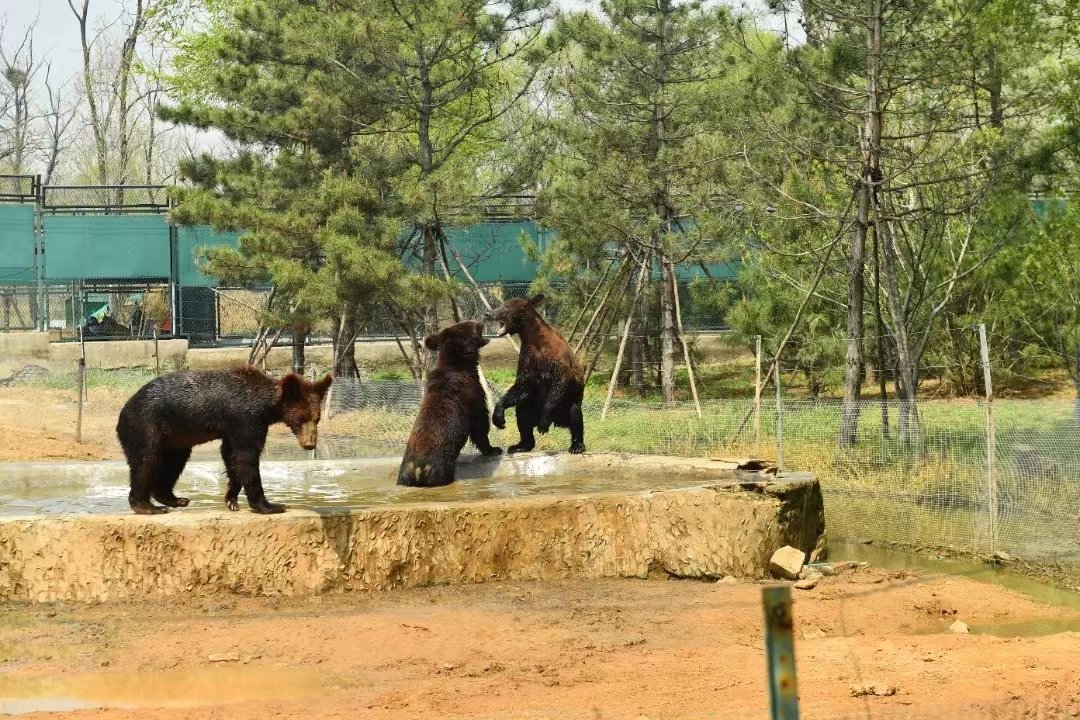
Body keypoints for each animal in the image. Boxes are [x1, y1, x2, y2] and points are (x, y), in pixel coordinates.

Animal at [116, 369, 330, 515]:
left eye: (317, 418)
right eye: (300, 419)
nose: (310, 443)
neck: (266, 407)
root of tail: (124, 409)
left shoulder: (233, 427)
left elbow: (230, 456)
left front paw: (231, 499)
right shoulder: (246, 418)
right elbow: (246, 456)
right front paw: (270, 505)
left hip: (174, 437)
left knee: (175, 461)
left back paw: (175, 499)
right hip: (146, 424)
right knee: (146, 461)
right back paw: (147, 506)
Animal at [397, 321, 501, 487]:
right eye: (472, 325)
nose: (481, 320)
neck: (460, 366)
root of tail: (417, 468)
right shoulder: (472, 393)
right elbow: (479, 423)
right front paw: (493, 449)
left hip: (403, 475)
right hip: (440, 466)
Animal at [483, 293, 587, 453]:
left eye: (506, 307)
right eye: (502, 304)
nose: (488, 314)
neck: (534, 339)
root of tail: (557, 422)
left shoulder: (558, 363)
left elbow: (559, 384)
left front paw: (544, 423)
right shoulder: (528, 360)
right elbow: (521, 384)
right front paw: (498, 416)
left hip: (568, 404)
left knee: (575, 416)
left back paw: (577, 445)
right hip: (533, 406)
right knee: (522, 412)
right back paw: (521, 445)